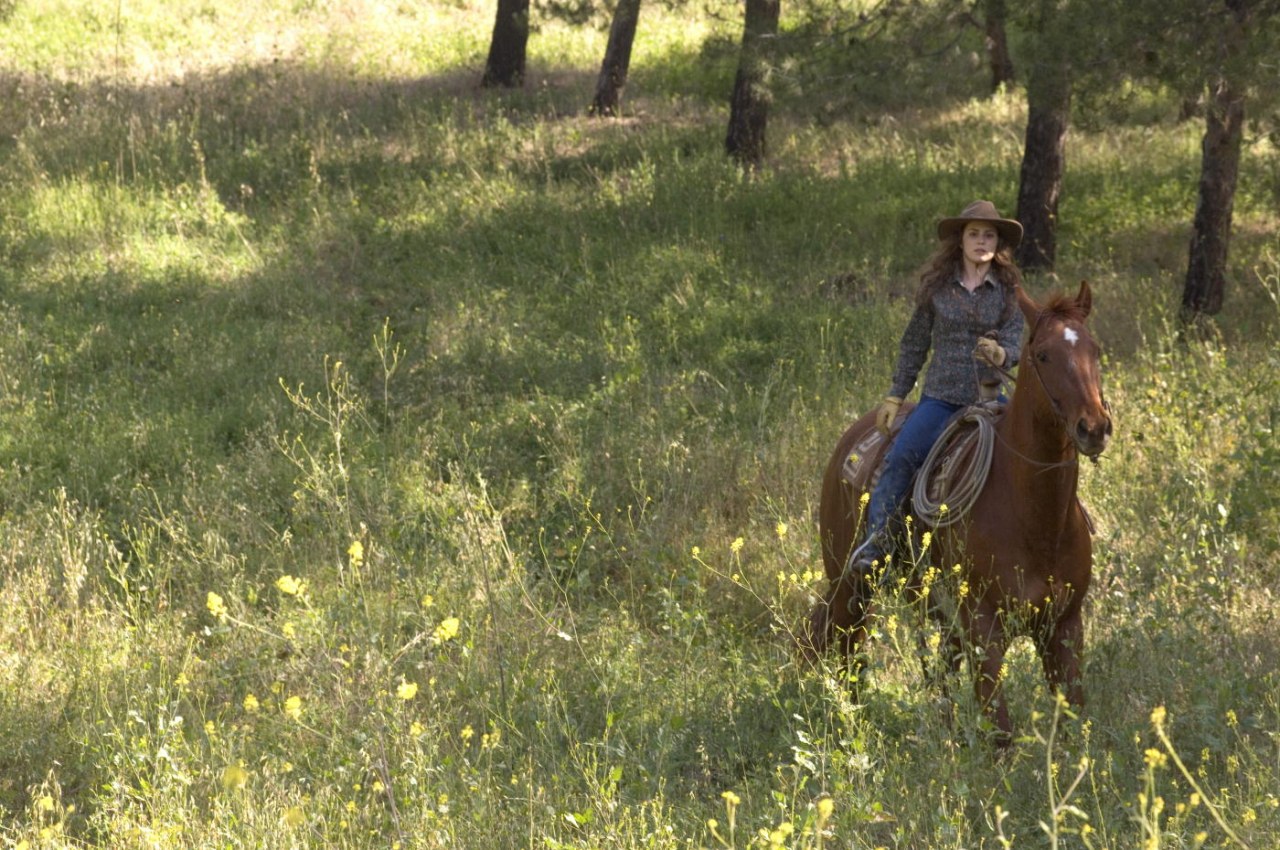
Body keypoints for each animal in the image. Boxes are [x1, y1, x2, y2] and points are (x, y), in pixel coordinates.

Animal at [808, 280, 1111, 742]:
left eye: (1094, 350)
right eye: (1043, 354)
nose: (1093, 427)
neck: (1037, 519)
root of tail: (853, 436)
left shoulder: (1064, 627)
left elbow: (1074, 718)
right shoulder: (984, 631)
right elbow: (1000, 731)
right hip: (850, 585)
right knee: (845, 652)